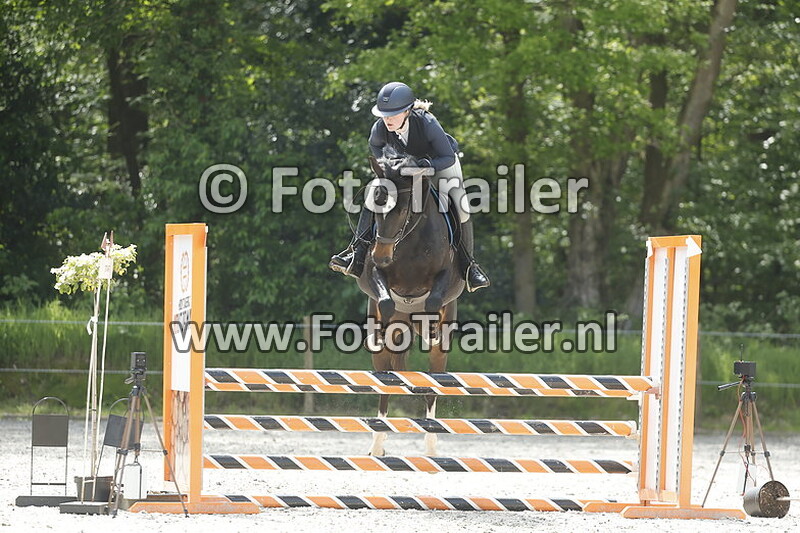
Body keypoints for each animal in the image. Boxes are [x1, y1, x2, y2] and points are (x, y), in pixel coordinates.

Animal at [356, 155, 465, 456]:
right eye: (374, 207)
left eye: (404, 208)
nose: (381, 256)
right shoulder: (374, 276)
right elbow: (385, 301)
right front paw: (381, 333)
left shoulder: (446, 278)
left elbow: (433, 300)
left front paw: (430, 329)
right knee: (385, 380)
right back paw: (377, 445)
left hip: (440, 355)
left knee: (432, 386)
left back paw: (431, 447)